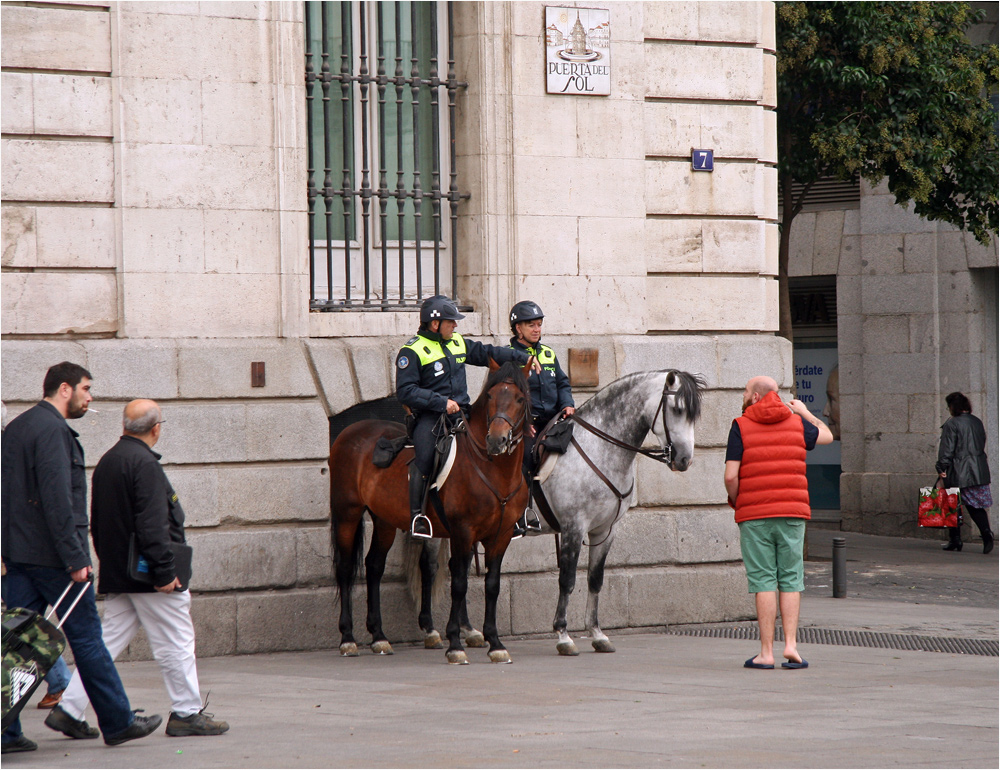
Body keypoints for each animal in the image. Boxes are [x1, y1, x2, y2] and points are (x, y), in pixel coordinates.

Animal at [326, 356, 532, 664]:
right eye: (491, 396)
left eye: (520, 398)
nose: (497, 440)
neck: (492, 470)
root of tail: (350, 431)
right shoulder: (462, 532)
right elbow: (458, 583)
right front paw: (455, 643)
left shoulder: (501, 535)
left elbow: (492, 585)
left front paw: (495, 643)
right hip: (347, 513)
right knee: (345, 568)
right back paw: (348, 638)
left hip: (384, 520)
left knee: (374, 566)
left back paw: (379, 636)